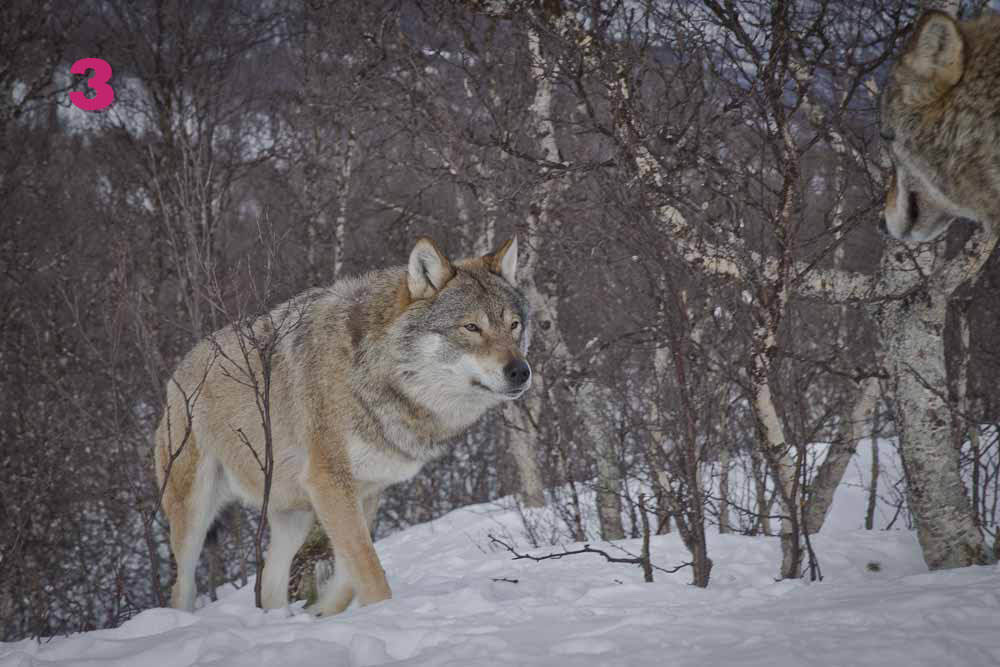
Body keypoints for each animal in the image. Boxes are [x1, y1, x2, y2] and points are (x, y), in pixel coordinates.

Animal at [154, 237, 532, 615]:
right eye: (471, 327)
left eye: (514, 325)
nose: (521, 371)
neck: (377, 371)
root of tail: (176, 376)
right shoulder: (330, 482)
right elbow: (369, 570)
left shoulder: (366, 492)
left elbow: (352, 574)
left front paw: (322, 612)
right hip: (194, 514)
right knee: (181, 586)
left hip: (294, 517)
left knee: (272, 583)